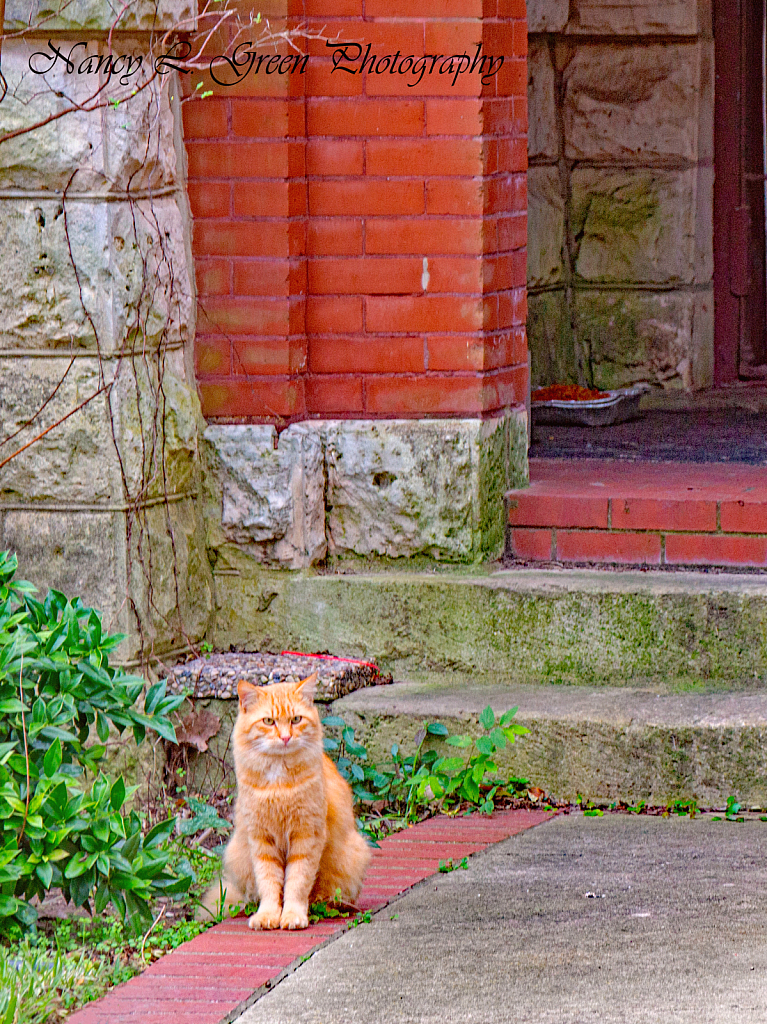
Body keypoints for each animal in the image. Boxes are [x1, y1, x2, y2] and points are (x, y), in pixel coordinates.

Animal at [201, 671, 368, 929]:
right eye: (269, 721)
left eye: (296, 719)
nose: (286, 737)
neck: (278, 785)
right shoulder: (261, 840)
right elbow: (269, 883)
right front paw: (268, 915)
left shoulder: (306, 836)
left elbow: (297, 883)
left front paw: (292, 915)